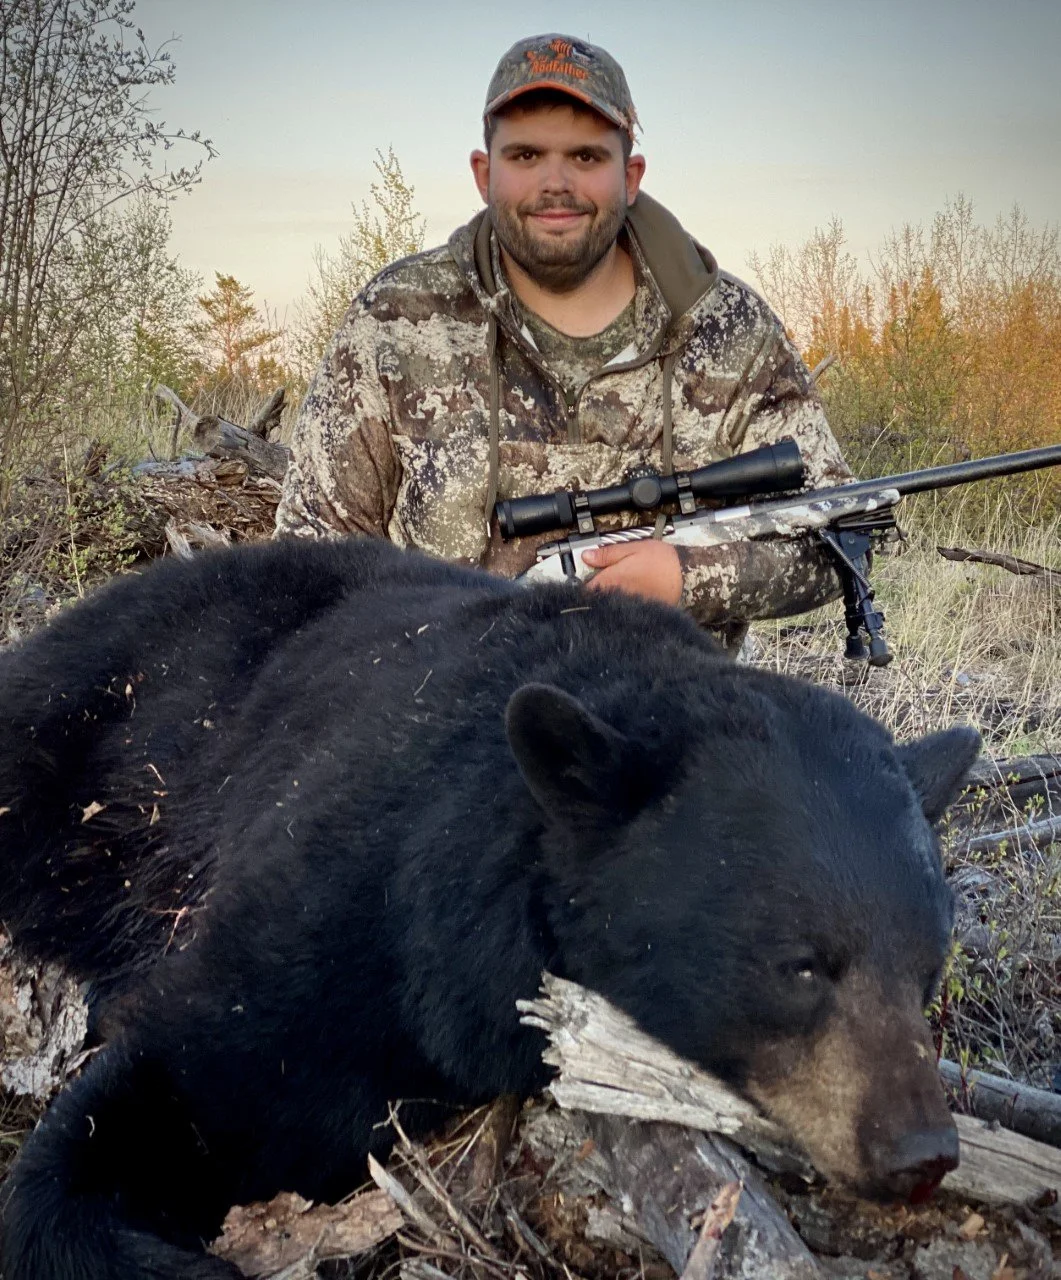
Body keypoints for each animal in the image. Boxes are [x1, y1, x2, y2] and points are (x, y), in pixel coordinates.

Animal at [0, 536, 980, 1280]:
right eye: (801, 964)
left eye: (926, 971)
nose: (920, 1150)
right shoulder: (353, 889)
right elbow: (185, 1078)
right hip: (99, 718)